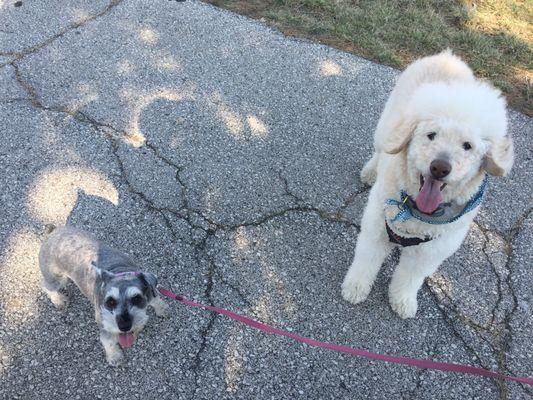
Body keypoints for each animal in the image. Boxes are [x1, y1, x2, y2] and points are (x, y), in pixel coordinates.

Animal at [39, 225, 167, 366]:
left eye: (136, 298)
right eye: (110, 302)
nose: (124, 327)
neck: (119, 272)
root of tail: (53, 232)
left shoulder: (149, 291)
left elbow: (156, 300)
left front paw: (162, 309)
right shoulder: (104, 323)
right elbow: (108, 340)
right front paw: (114, 356)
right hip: (56, 277)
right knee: (46, 286)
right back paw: (58, 300)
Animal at [340, 50, 512, 318]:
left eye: (467, 146)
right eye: (431, 135)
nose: (439, 167)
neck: (415, 211)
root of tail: (447, 56)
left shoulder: (432, 250)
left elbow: (411, 277)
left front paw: (402, 300)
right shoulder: (376, 227)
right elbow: (366, 261)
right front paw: (355, 288)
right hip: (387, 128)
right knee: (381, 150)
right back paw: (370, 172)